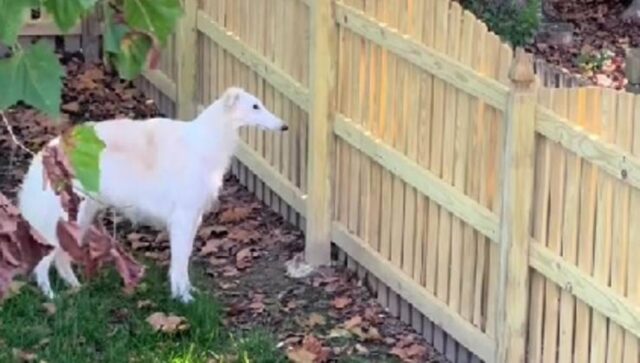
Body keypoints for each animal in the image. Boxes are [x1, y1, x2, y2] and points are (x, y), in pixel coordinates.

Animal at [16, 86, 288, 302]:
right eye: (255, 106)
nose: (284, 126)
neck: (203, 142)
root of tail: (45, 153)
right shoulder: (183, 217)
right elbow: (179, 263)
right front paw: (183, 298)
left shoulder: (193, 218)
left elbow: (183, 261)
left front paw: (186, 292)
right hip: (61, 220)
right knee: (43, 265)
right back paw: (52, 298)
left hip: (79, 218)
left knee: (62, 261)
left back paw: (76, 289)